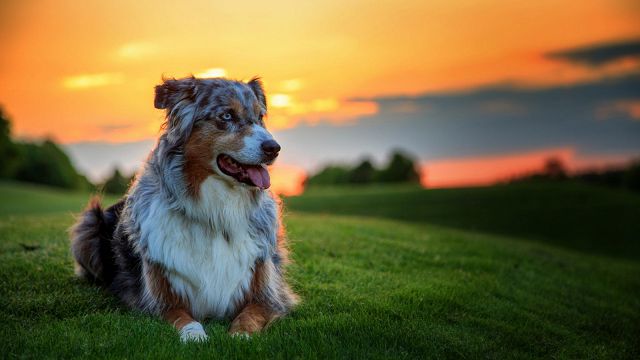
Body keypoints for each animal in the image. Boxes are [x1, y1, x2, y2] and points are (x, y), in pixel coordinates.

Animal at [70, 76, 300, 344]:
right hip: (88, 226)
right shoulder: (158, 299)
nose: (274, 148)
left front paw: (239, 336)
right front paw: (195, 336)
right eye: (227, 116)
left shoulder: (269, 295)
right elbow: (184, 319)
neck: (216, 215)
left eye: (260, 116)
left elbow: (249, 316)